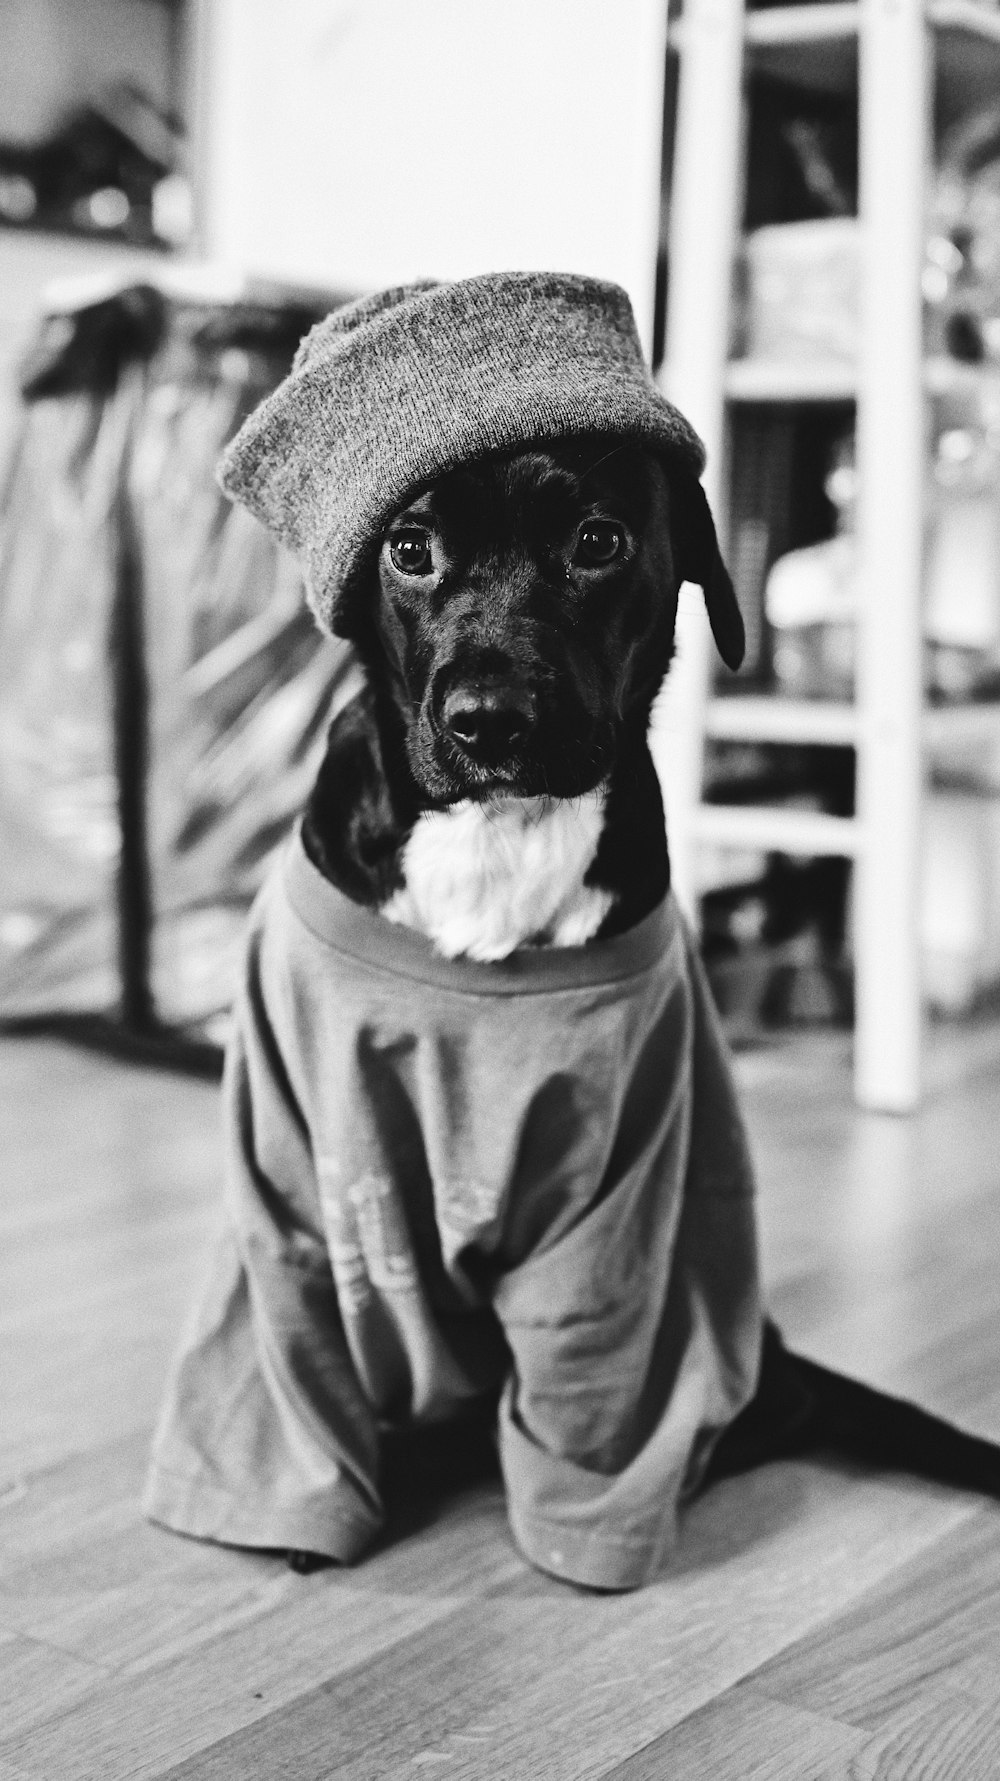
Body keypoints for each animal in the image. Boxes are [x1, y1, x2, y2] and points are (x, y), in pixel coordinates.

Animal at [146, 274, 998, 1588]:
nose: (488, 718)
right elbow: (299, 1343)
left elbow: (596, 1358)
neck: (496, 837)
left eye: (598, 540)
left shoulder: (620, 1177)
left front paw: (581, 1533)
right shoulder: (294, 1167)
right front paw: (304, 1513)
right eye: (408, 549)